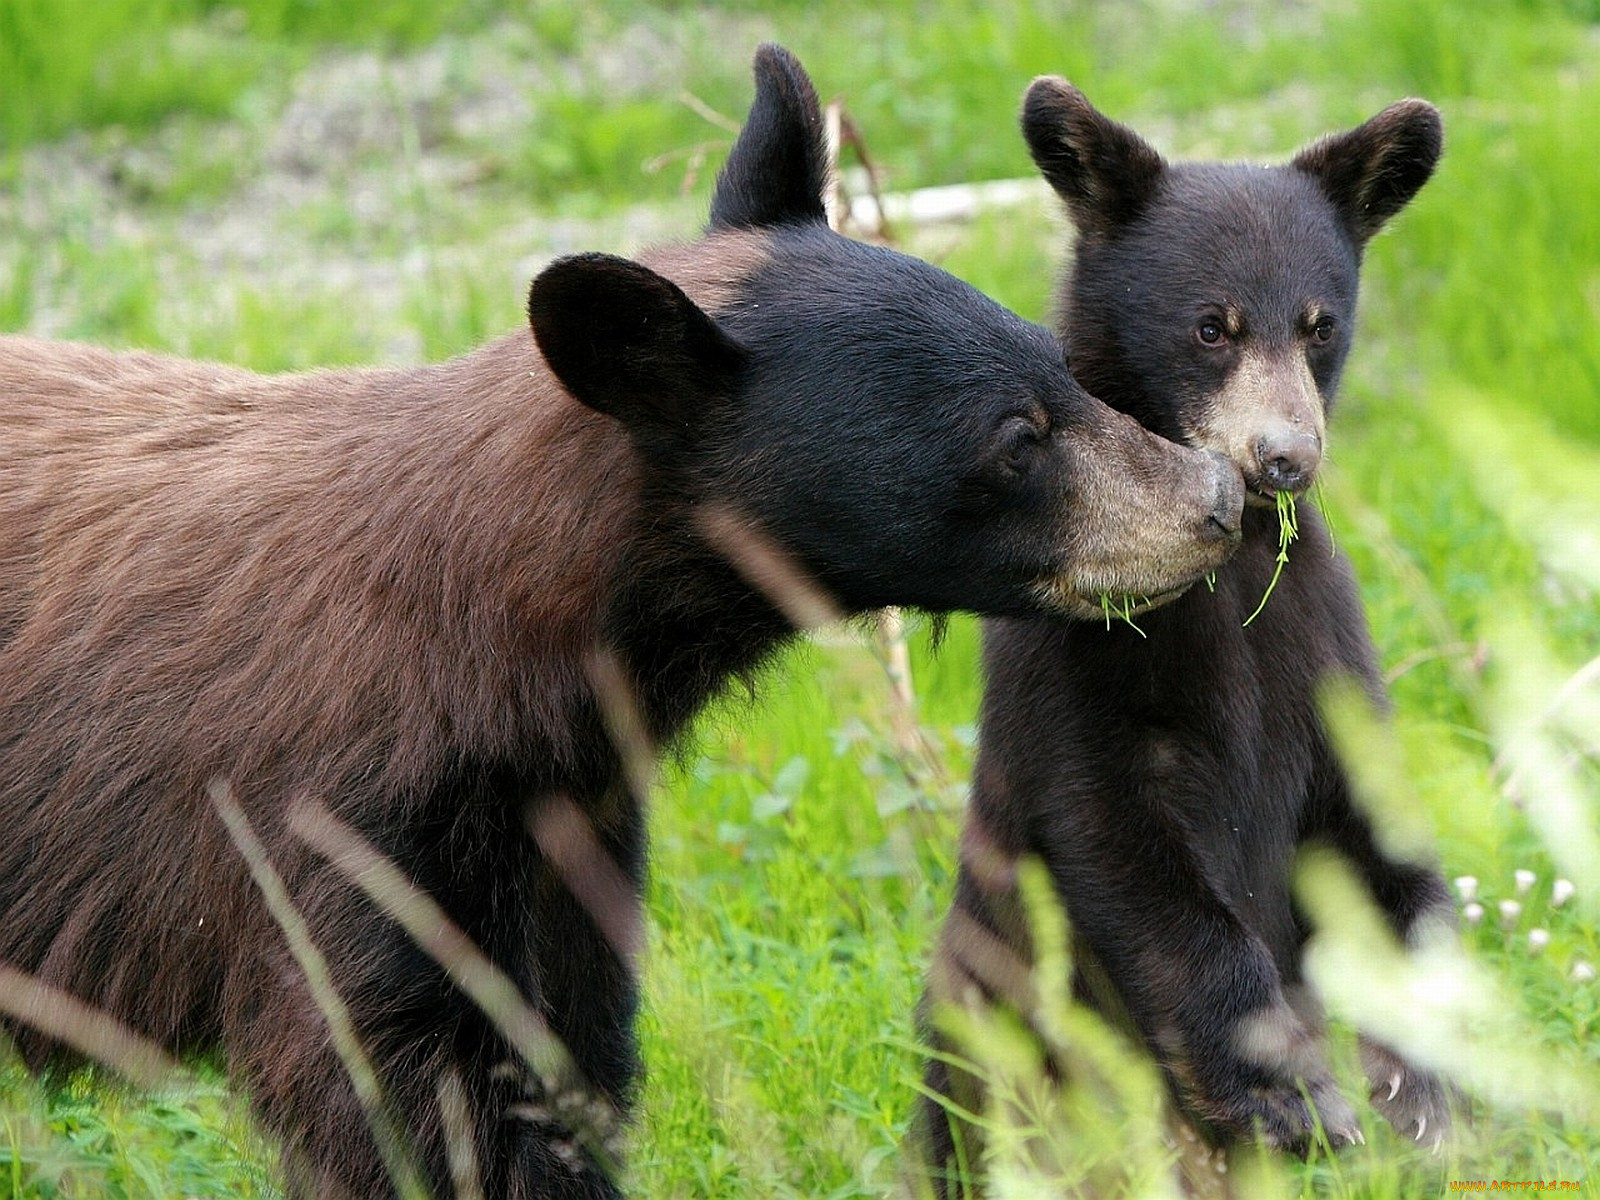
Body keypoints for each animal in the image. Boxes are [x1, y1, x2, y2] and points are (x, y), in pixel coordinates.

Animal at [0, 44, 1235, 1200]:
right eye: (1015, 436)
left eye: (1057, 364)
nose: (1215, 498)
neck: (500, 652)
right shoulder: (322, 832)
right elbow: (409, 1090)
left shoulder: (563, 829)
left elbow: (570, 1048)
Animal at [921, 82, 1459, 1196]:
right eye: (1210, 326)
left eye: (1319, 325)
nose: (1284, 457)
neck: (1232, 562)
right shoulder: (1078, 655)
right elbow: (1122, 842)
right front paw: (1290, 1096)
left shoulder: (1319, 636)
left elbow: (1373, 829)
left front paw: (1419, 1083)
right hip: (984, 1008)